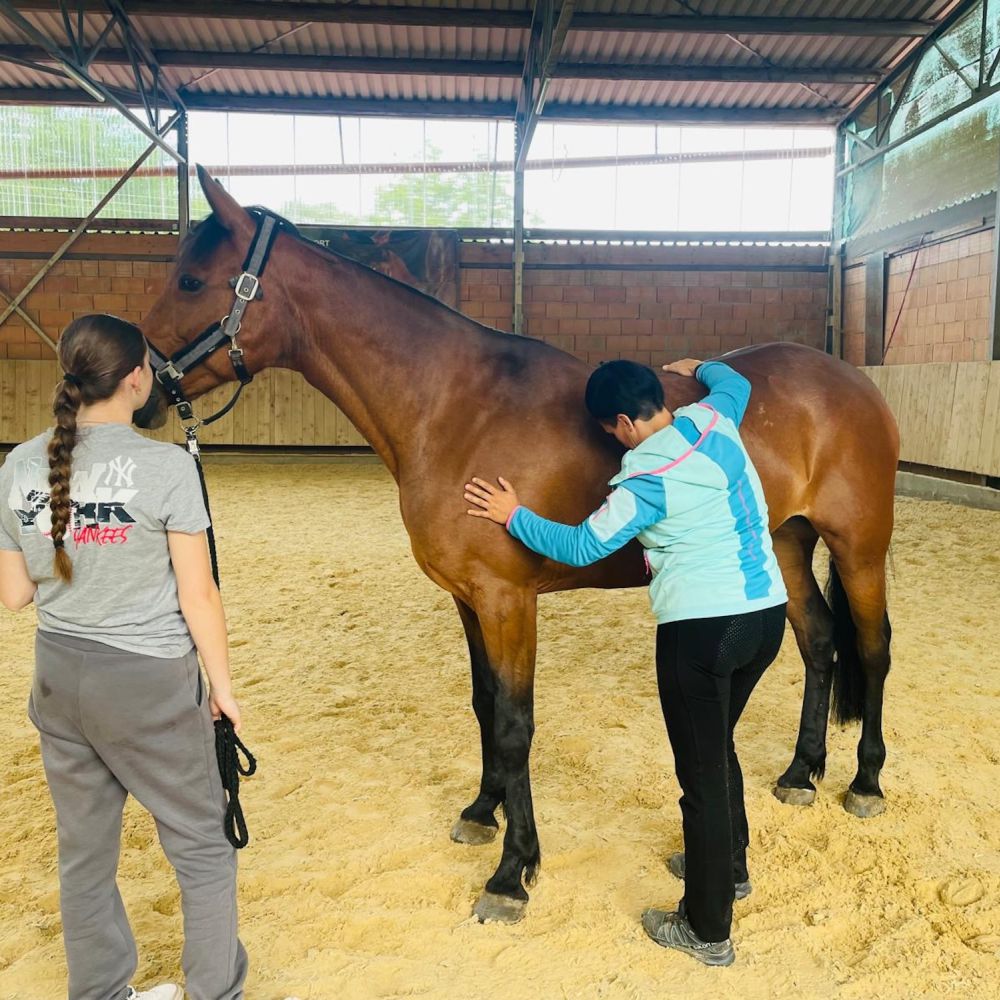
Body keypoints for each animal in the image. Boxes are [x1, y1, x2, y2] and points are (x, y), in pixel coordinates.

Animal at [137, 166, 898, 924]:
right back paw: (801, 772)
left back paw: (864, 783)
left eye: (191, 281)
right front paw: (483, 811)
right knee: (819, 640)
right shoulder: (468, 599)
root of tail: (851, 381)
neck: (455, 409)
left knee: (871, 646)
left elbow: (514, 723)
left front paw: (512, 873)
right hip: (786, 544)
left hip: (859, 547)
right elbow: (484, 705)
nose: (140, 391)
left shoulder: (508, 600)